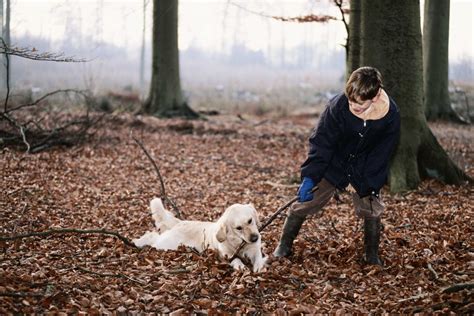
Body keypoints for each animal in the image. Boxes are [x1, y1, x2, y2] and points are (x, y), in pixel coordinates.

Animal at [133, 198, 266, 272]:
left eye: (250, 220)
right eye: (239, 228)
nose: (255, 238)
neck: (239, 242)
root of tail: (180, 222)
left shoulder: (255, 250)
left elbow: (259, 257)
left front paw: (259, 267)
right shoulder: (226, 254)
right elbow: (236, 259)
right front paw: (240, 266)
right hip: (166, 244)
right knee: (151, 236)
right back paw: (137, 241)